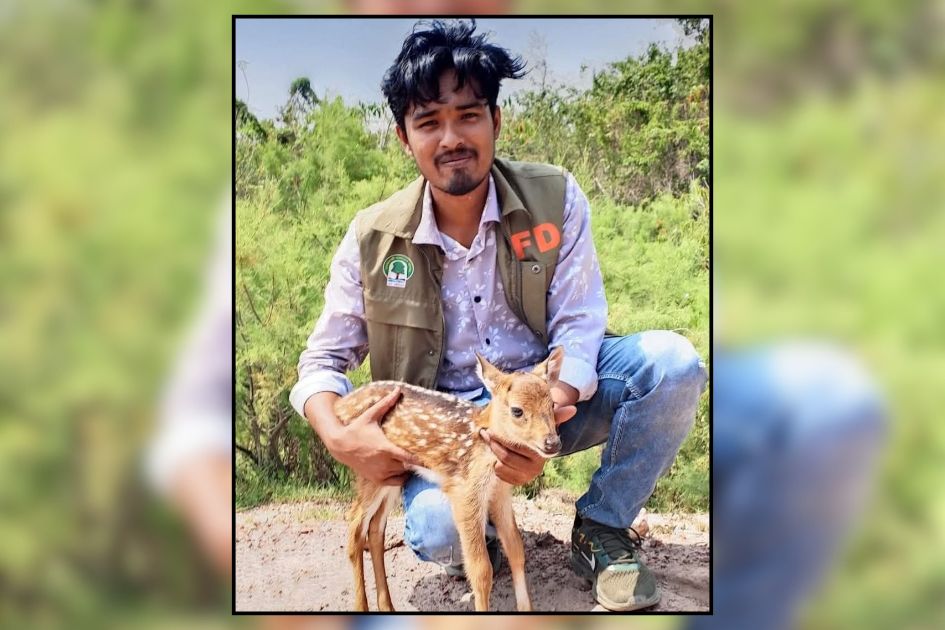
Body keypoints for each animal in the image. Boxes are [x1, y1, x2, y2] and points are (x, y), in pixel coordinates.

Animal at [332, 346, 565, 612]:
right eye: (517, 410)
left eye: (553, 403)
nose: (552, 443)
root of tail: (341, 405)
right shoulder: (464, 490)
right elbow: (481, 570)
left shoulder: (500, 490)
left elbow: (516, 549)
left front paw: (527, 610)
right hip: (368, 467)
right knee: (355, 528)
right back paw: (362, 607)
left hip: (391, 474)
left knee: (375, 529)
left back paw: (387, 607)